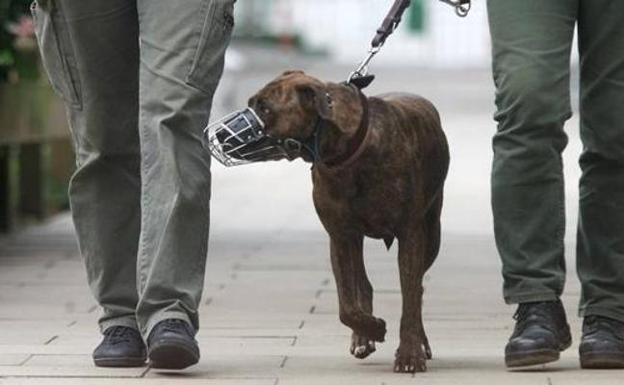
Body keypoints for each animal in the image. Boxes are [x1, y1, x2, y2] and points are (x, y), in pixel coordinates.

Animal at [249, 70, 448, 372]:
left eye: (265, 108)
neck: (349, 151)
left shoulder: (411, 233)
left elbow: (410, 296)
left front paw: (409, 353)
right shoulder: (340, 235)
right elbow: (347, 305)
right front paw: (373, 328)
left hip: (432, 232)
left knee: (417, 288)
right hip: (354, 239)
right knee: (362, 284)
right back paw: (363, 337)